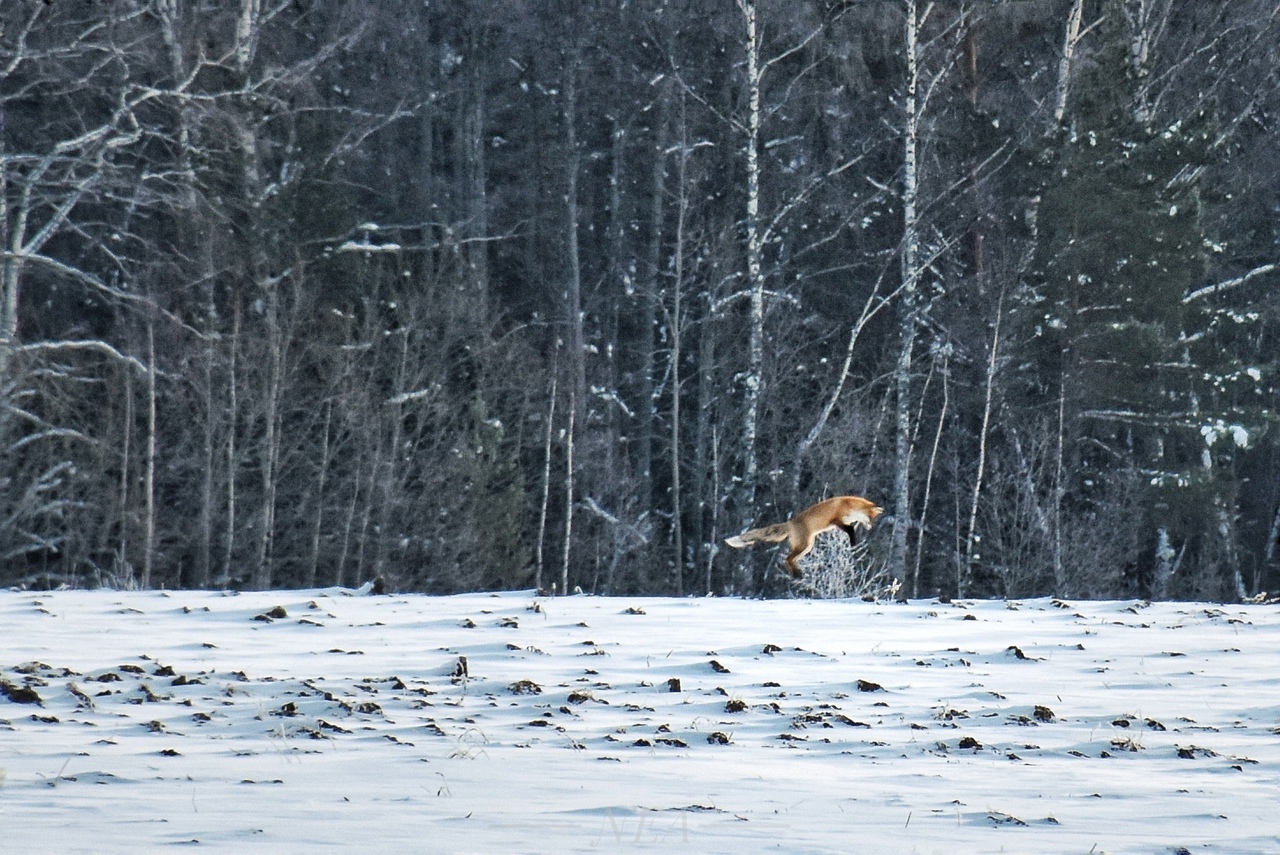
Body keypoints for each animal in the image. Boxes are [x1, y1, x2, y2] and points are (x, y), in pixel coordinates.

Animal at [727, 496, 885, 578]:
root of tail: (790, 523)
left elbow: (850, 529)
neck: (850, 506)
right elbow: (850, 530)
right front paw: (853, 541)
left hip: (807, 547)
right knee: (787, 559)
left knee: (790, 560)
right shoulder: (837, 520)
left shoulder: (841, 523)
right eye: (871, 519)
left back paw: (796, 573)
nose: (870, 527)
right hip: (805, 545)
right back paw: (797, 574)